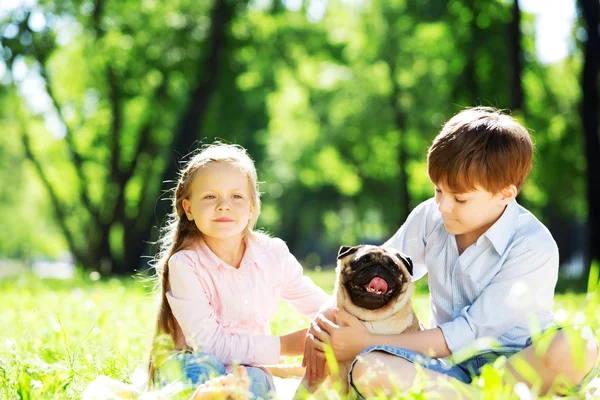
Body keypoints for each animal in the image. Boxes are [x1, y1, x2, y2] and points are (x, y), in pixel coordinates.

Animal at [292, 244, 420, 396]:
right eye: (362, 261)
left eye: (393, 268)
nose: (378, 267)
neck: (364, 318)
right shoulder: (316, 371)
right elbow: (301, 392)